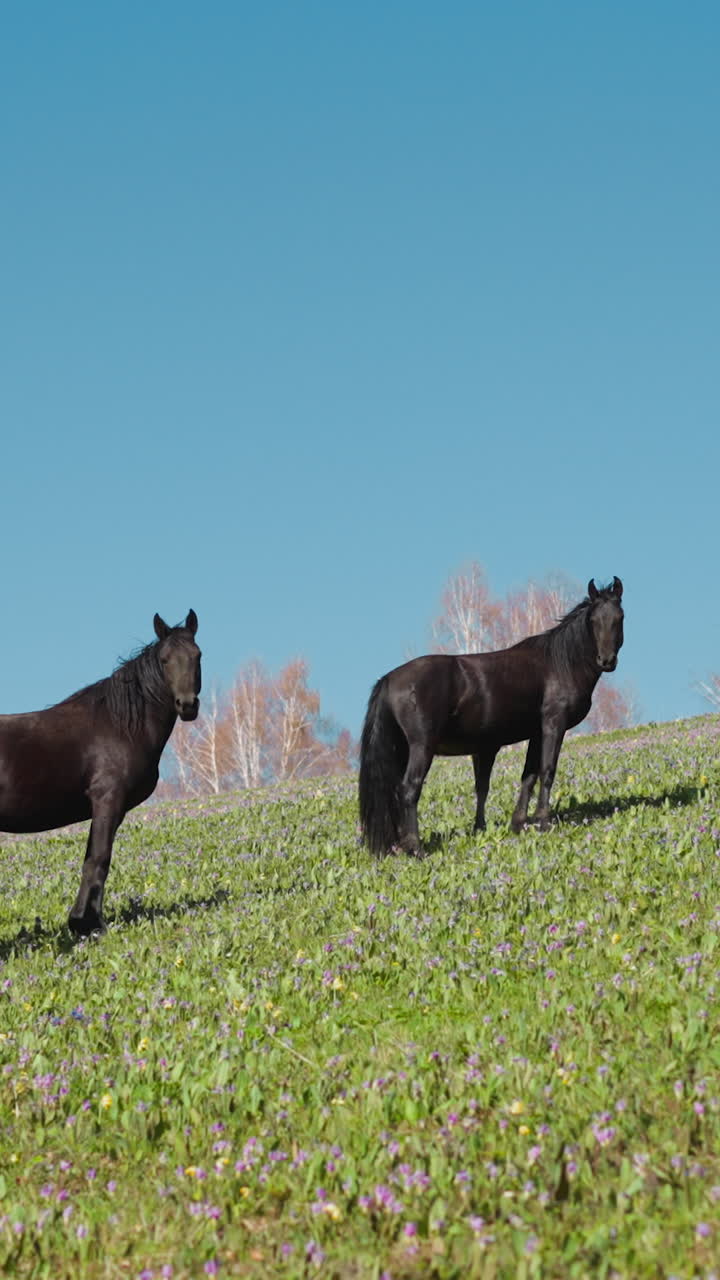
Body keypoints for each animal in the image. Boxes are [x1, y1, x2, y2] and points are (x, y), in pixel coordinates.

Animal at [0, 610, 201, 935]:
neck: (119, 726)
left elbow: (90, 858)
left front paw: (81, 921)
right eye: (165, 660)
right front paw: (89, 923)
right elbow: (99, 859)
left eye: (197, 655)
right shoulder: (108, 800)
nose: (187, 705)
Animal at [359, 578, 624, 856]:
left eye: (619, 617)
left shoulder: (536, 732)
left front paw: (519, 823)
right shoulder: (554, 725)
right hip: (422, 747)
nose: (606, 660)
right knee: (410, 789)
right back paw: (416, 847)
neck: (561, 664)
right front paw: (543, 821)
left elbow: (528, 776)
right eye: (593, 620)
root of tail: (389, 680)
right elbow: (547, 770)